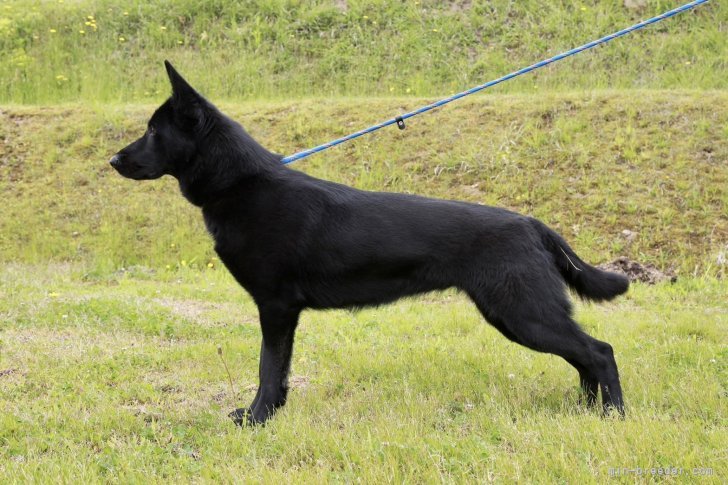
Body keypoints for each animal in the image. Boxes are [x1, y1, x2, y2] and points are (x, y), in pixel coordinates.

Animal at [111, 60, 628, 424]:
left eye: (153, 130)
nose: (113, 160)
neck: (240, 182)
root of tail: (531, 223)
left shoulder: (275, 308)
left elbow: (267, 368)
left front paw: (256, 420)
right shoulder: (282, 312)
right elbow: (279, 372)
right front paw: (267, 416)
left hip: (523, 314)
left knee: (599, 352)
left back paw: (613, 416)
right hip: (517, 316)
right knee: (584, 358)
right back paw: (585, 412)